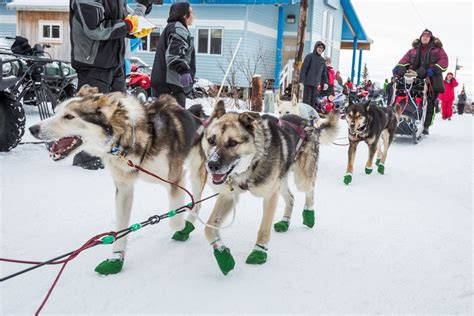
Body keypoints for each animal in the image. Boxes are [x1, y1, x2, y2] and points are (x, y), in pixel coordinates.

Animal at [28, 86, 206, 274]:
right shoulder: (124, 189)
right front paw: (116, 258)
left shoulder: (176, 180)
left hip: (197, 172)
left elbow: (175, 219)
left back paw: (189, 225)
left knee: (197, 202)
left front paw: (180, 224)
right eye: (55, 112)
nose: (32, 129)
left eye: (69, 116)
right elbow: (120, 228)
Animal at [202, 100, 338, 274]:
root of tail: (309, 124)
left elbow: (263, 229)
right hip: (281, 182)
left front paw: (259, 252)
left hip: (301, 179)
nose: (212, 165)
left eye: (232, 143)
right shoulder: (228, 196)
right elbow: (209, 228)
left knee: (310, 190)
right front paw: (222, 254)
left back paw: (309, 215)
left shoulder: (270, 196)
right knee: (291, 198)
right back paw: (285, 222)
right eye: (211, 140)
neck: (252, 163)